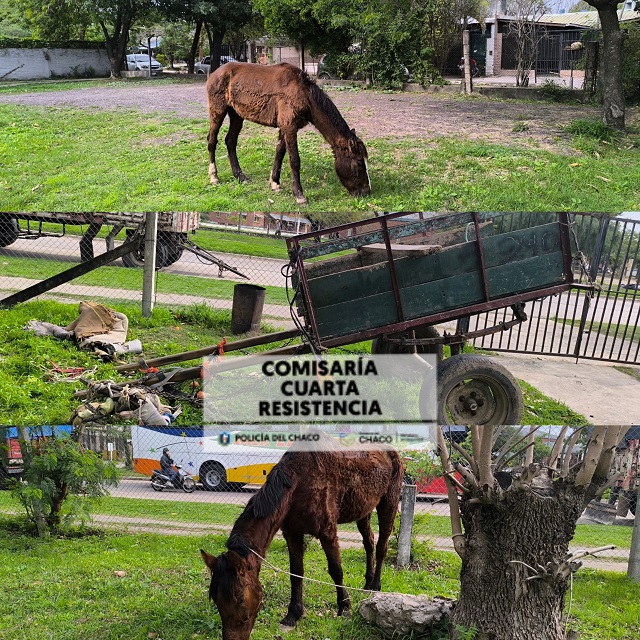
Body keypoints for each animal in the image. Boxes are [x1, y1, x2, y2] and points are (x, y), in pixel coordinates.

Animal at [200, 438, 404, 640]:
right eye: (215, 599)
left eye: (240, 599)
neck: (298, 483)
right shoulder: (292, 534)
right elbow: (296, 573)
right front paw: (293, 614)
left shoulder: (328, 532)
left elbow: (336, 570)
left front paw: (344, 606)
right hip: (364, 510)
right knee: (369, 542)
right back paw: (368, 583)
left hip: (389, 503)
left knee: (381, 546)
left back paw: (375, 585)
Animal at [205, 62, 371, 205]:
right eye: (359, 162)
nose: (366, 192)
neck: (304, 94)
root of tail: (214, 73)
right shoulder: (290, 127)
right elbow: (294, 160)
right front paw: (299, 195)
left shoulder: (285, 128)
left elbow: (279, 153)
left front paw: (275, 183)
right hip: (217, 111)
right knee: (212, 141)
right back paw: (214, 177)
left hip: (236, 114)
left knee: (230, 142)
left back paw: (240, 176)